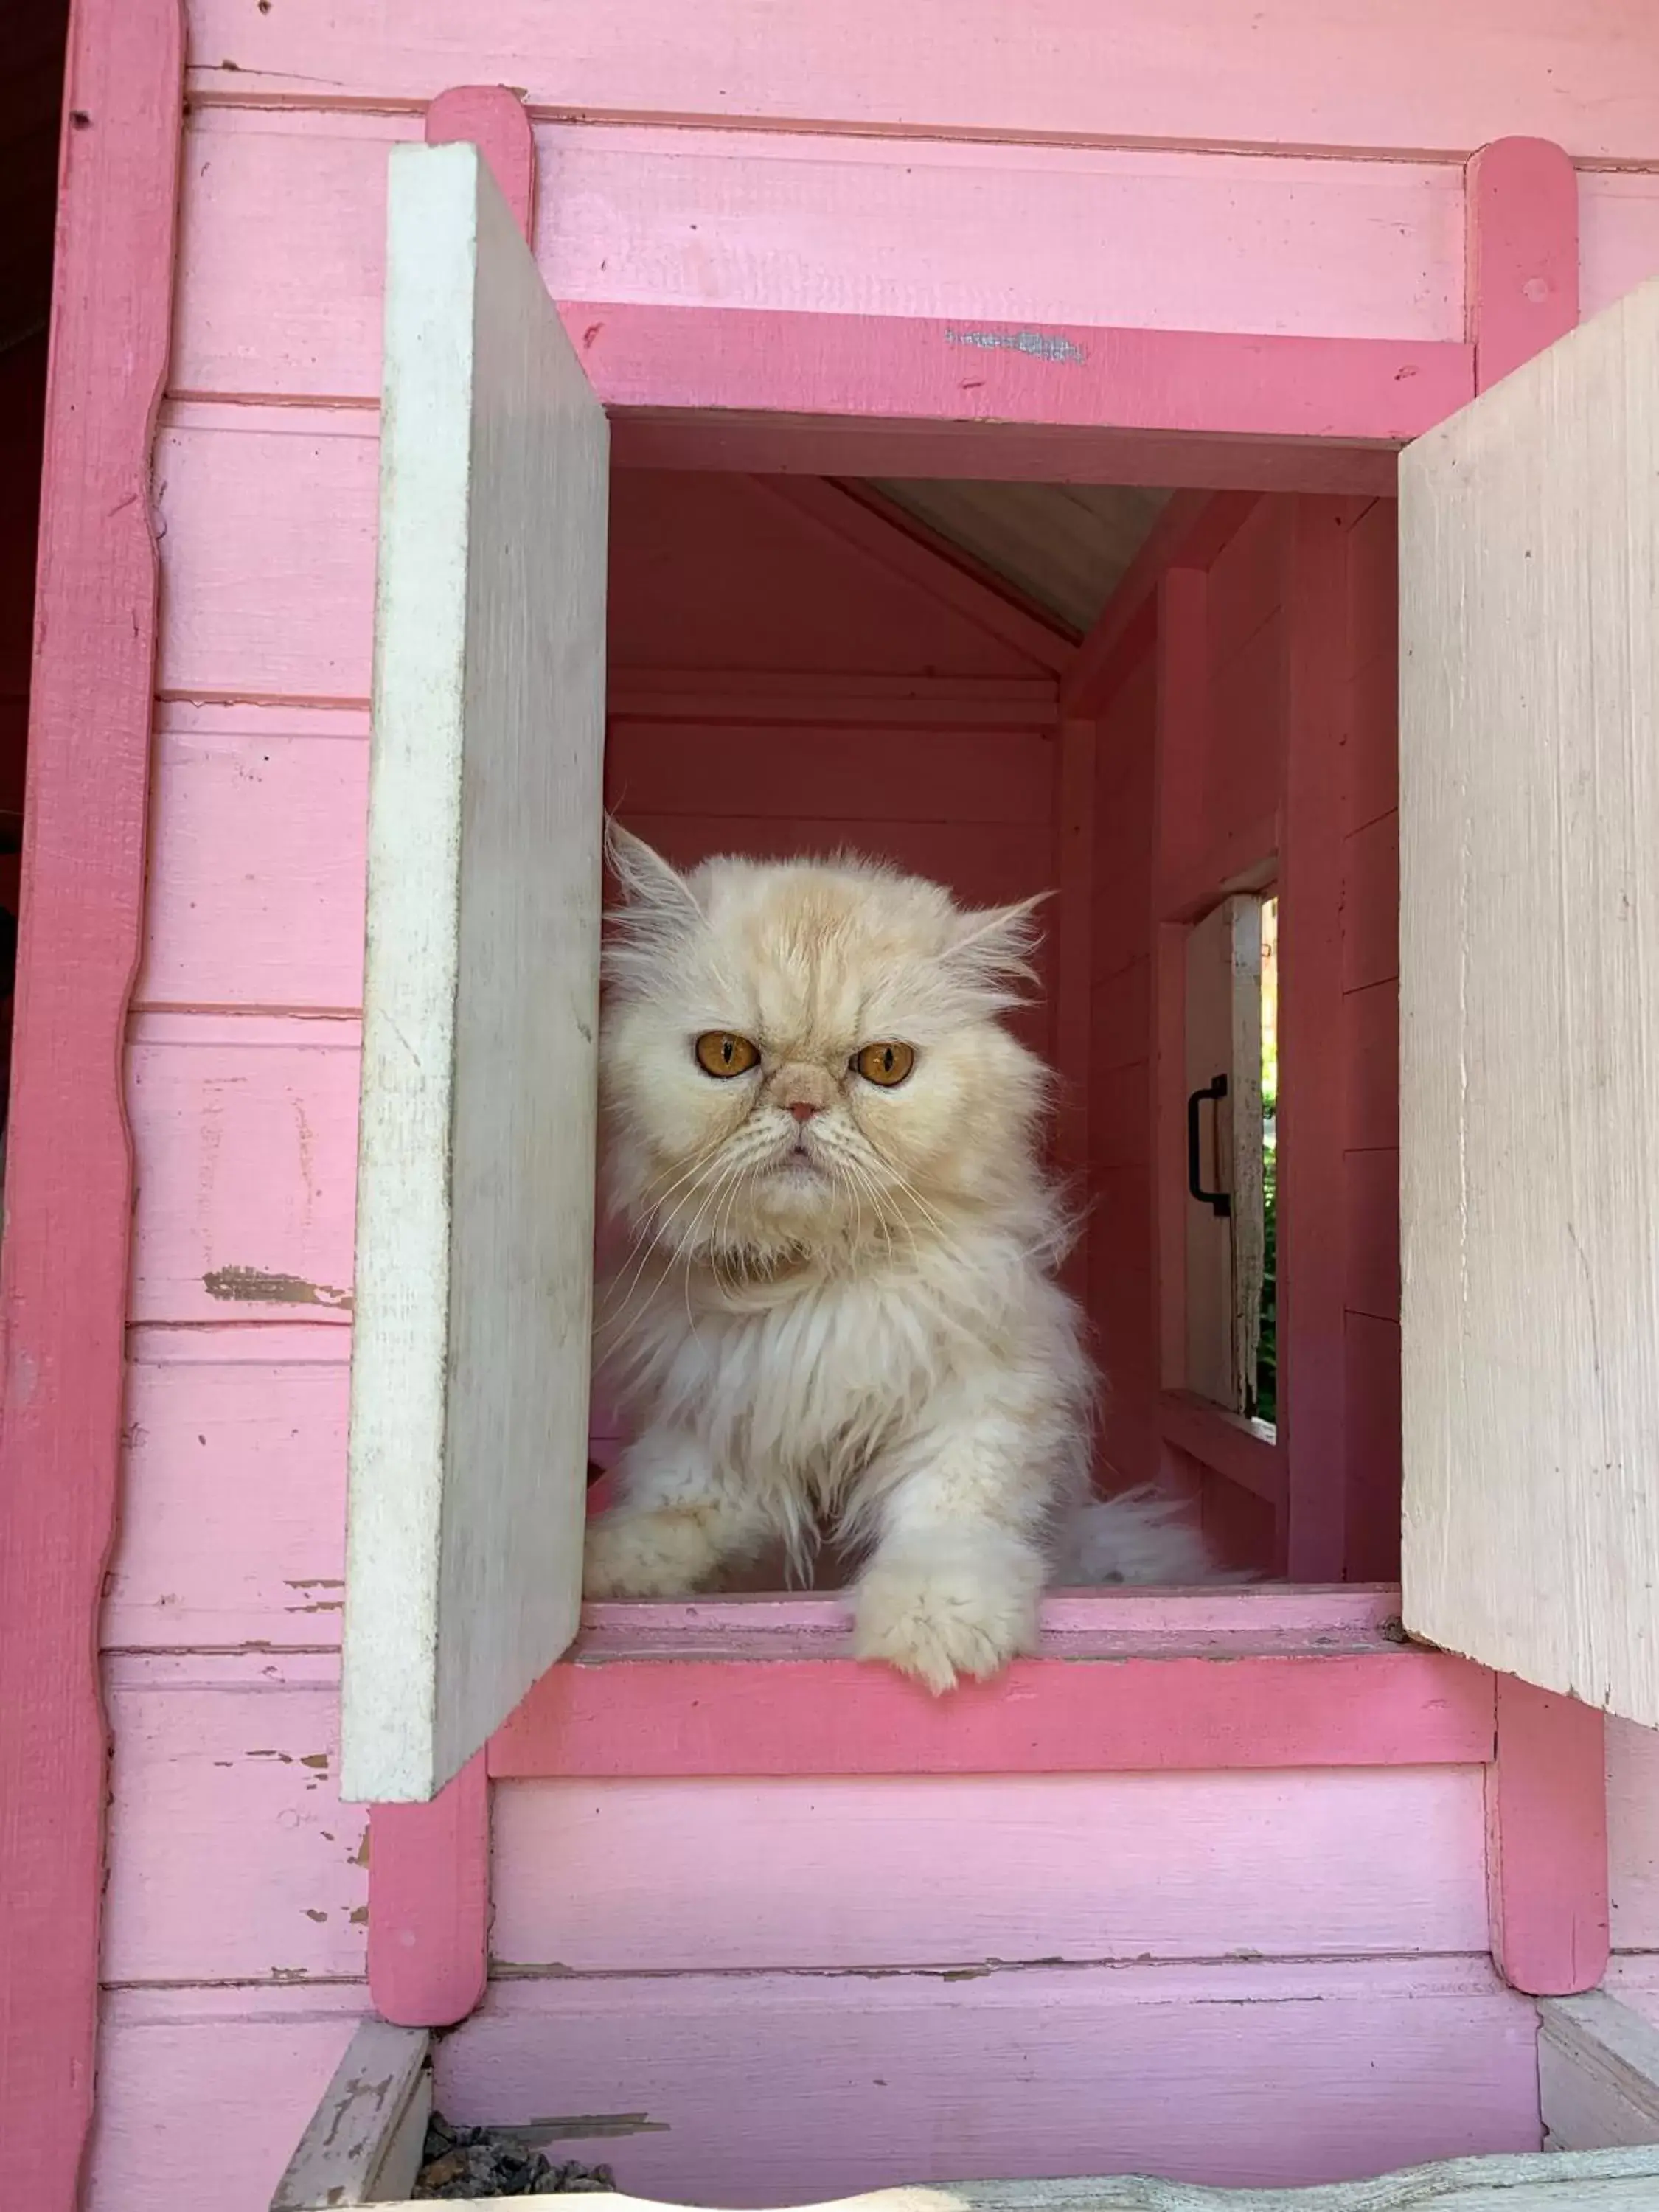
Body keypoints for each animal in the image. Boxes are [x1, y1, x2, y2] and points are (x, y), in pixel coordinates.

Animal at [584, 832, 1221, 1690]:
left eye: (884, 1065)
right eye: (726, 1055)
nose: (803, 1103)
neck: (814, 1280)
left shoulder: (981, 1396)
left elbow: (947, 1520)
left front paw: (936, 1628)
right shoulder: (714, 1424)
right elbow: (673, 1512)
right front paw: (604, 1567)